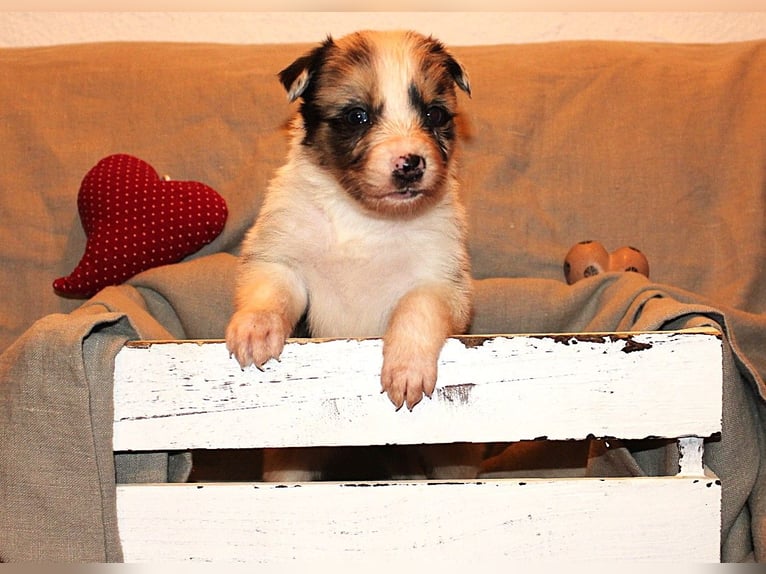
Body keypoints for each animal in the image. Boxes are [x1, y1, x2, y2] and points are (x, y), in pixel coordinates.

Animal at [226, 29, 480, 484]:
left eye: (434, 114)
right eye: (357, 116)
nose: (411, 164)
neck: (365, 217)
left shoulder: (443, 279)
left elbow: (417, 307)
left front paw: (406, 368)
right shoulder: (281, 256)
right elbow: (271, 292)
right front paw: (256, 331)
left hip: (454, 454)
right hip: (289, 457)